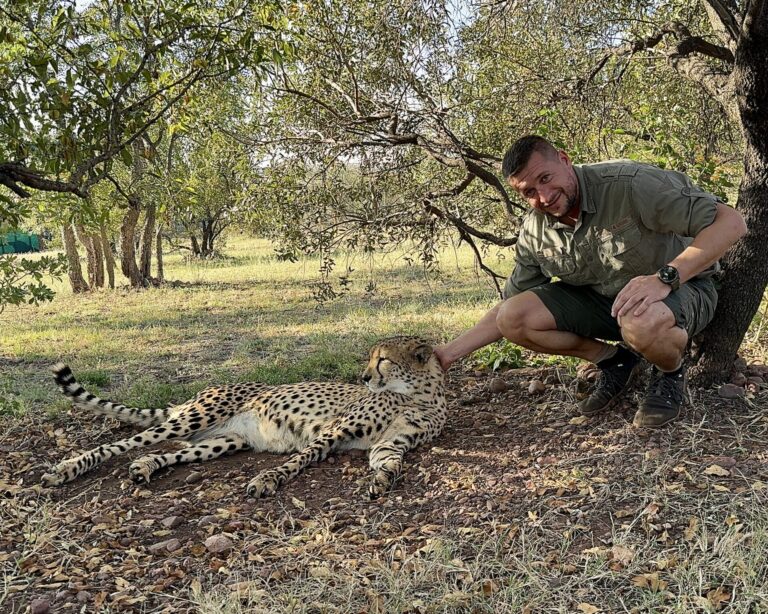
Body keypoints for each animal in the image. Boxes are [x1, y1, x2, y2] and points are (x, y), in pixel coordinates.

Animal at [42, 336, 448, 500]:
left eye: (382, 360)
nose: (363, 377)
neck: (418, 395)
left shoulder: (389, 444)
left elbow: (390, 463)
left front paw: (382, 481)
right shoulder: (335, 430)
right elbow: (299, 459)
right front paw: (267, 480)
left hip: (223, 441)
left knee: (172, 451)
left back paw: (145, 466)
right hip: (194, 418)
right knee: (122, 443)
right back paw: (67, 469)